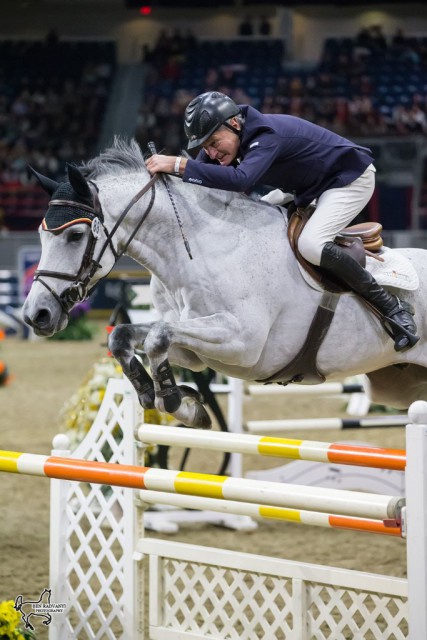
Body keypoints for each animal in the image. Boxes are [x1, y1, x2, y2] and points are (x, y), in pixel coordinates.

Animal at [21, 140, 427, 430]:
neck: (196, 251)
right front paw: (173, 399)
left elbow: (157, 338)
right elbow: (126, 337)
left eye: (75, 236)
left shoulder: (242, 343)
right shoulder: (196, 352)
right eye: (40, 235)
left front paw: (175, 400)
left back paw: (401, 322)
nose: (35, 315)